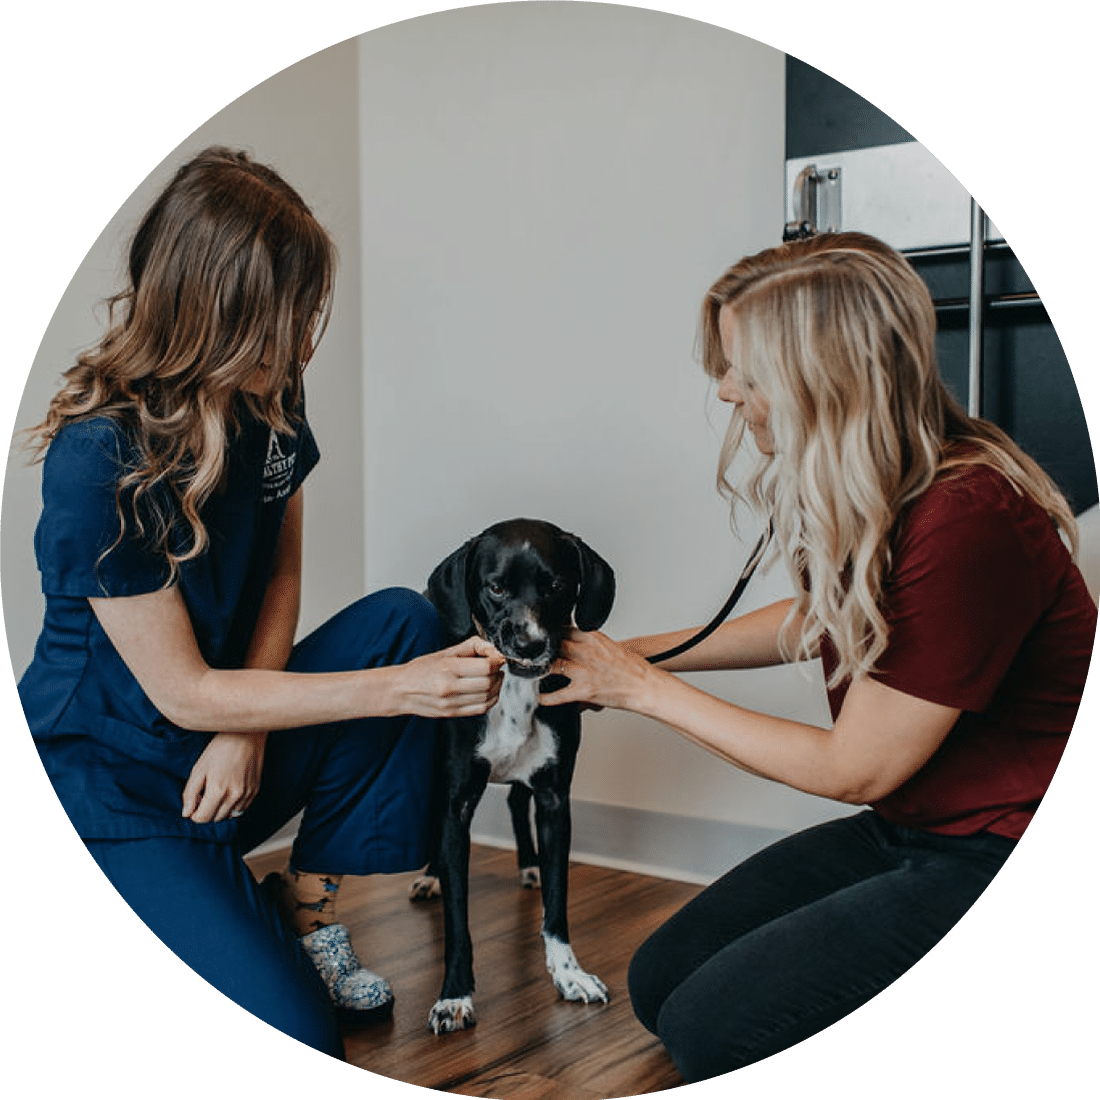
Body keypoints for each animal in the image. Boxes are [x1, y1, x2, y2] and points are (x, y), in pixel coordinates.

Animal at [413, 514, 616, 1029]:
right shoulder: (457, 801)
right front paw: (454, 995)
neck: (515, 689)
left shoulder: (555, 798)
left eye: (557, 585)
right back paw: (431, 875)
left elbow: (557, 907)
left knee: (513, 799)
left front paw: (569, 974)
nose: (530, 643)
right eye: (496, 587)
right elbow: (457, 919)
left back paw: (530, 864)